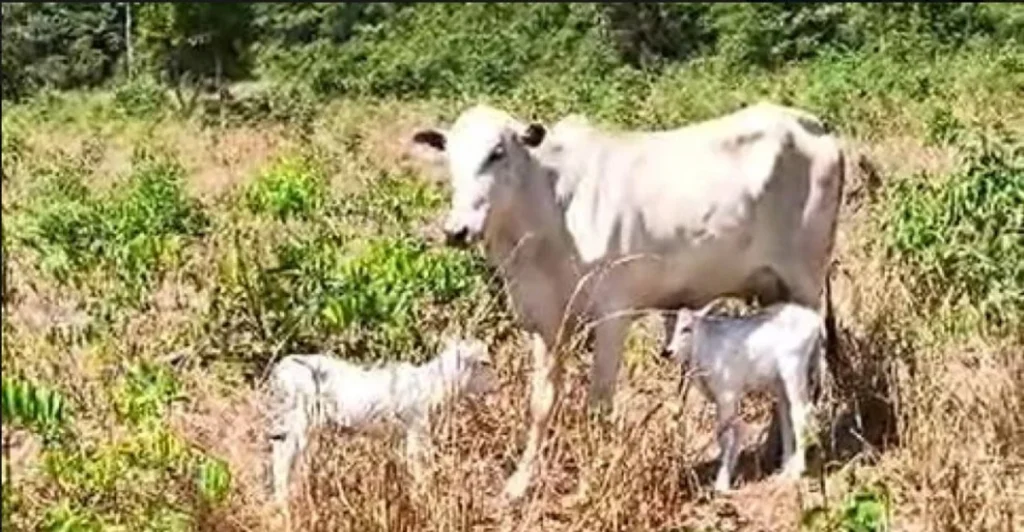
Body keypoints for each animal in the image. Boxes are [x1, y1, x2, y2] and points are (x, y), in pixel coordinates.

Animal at [410, 101, 844, 501]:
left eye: (497, 152)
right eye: (449, 156)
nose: (456, 230)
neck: (549, 209)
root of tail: (814, 125)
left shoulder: (613, 315)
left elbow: (598, 401)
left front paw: (589, 481)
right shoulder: (546, 321)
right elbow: (540, 403)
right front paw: (520, 483)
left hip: (805, 283)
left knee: (803, 383)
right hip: (773, 291)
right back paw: (772, 452)